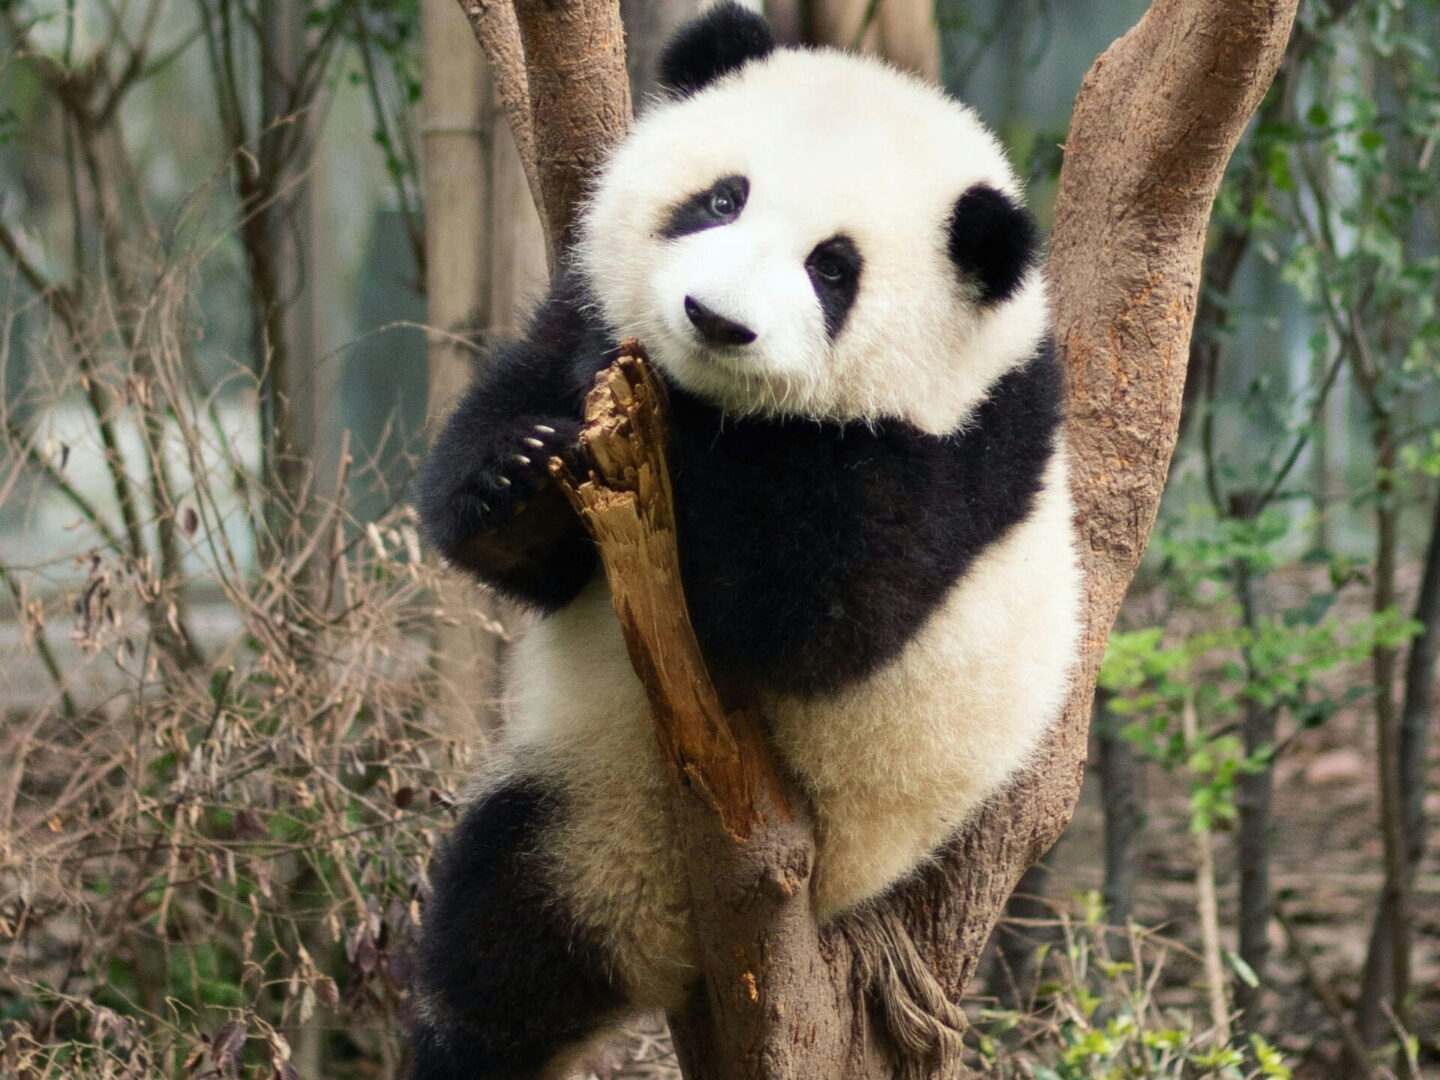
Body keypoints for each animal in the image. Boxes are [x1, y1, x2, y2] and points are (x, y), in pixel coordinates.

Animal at [410, 4, 1081, 1078]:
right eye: (720, 199)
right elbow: (528, 502)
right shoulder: (582, 312)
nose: (713, 320)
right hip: (575, 807)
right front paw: (517, 469)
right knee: (488, 966)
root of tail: (662, 934)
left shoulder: (946, 450)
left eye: (832, 268)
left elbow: (815, 618)